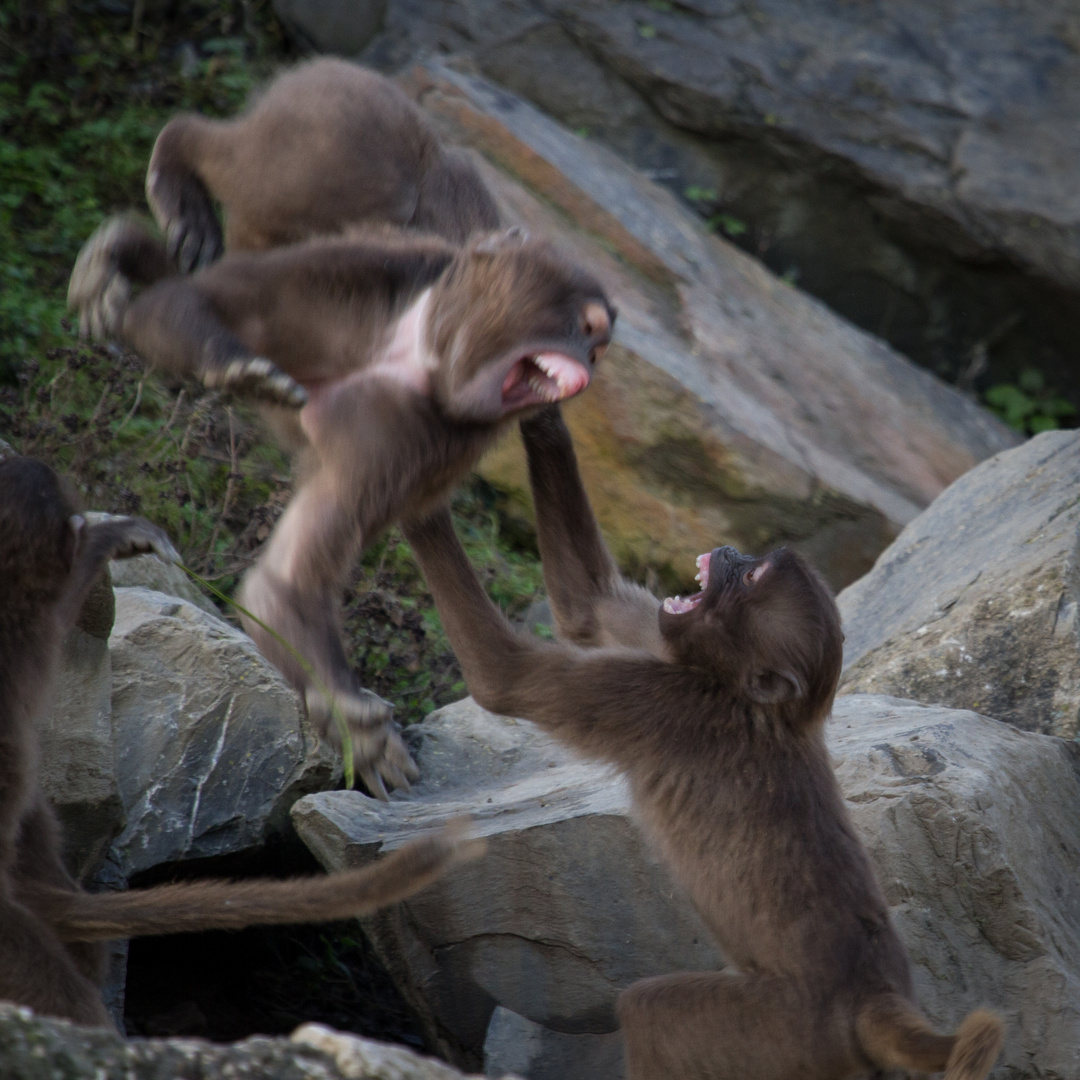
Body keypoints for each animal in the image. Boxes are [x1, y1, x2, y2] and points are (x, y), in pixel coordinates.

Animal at [67, 214, 617, 799]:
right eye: (587, 326)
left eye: (597, 343)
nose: (590, 358)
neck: (419, 347)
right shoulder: (357, 273)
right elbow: (186, 301)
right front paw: (230, 363)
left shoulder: (414, 433)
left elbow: (281, 590)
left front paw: (352, 723)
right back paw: (123, 254)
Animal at [401, 406, 1006, 1080]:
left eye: (755, 574)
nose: (733, 548)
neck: (757, 703)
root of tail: (876, 997)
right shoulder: (674, 650)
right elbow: (589, 603)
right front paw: (543, 411)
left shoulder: (671, 703)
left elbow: (505, 678)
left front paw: (418, 500)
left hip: (779, 1033)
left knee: (648, 1011)